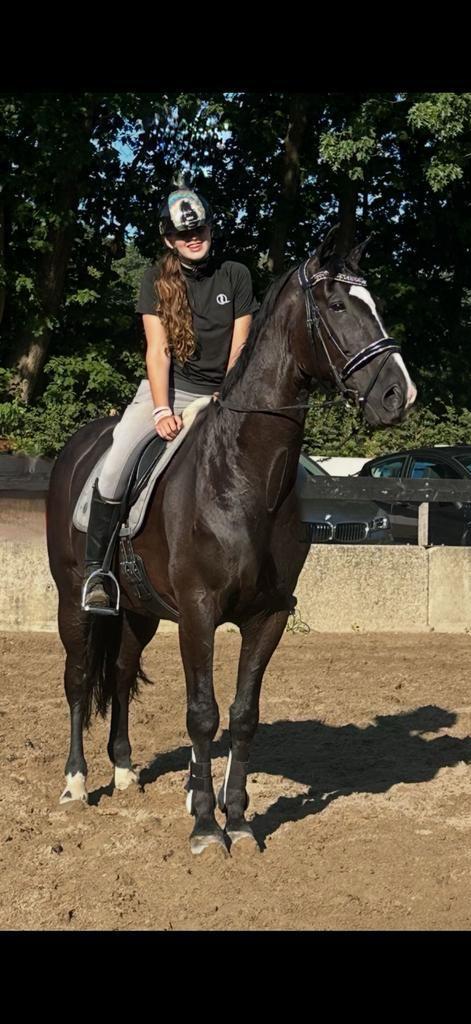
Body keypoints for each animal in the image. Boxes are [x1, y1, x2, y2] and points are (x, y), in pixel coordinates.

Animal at [46, 226, 417, 857]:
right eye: (338, 306)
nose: (399, 393)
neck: (245, 476)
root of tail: (78, 446)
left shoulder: (267, 616)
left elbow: (243, 715)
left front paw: (238, 820)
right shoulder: (198, 612)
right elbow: (202, 713)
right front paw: (203, 826)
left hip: (138, 611)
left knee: (118, 673)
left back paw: (123, 772)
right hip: (75, 598)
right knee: (78, 678)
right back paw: (75, 784)